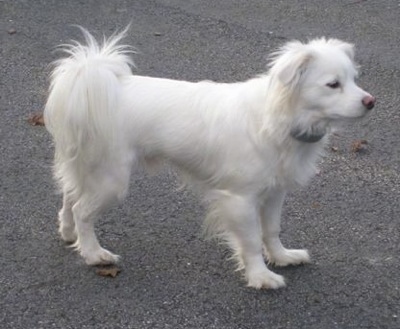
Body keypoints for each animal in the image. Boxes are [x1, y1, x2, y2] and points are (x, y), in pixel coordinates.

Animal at [44, 28, 376, 290]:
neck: (277, 118)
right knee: (83, 209)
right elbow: (252, 240)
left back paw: (69, 233)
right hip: (111, 180)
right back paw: (93, 253)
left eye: (355, 80)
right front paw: (260, 276)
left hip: (92, 171)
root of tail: (91, 76)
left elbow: (271, 230)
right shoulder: (240, 200)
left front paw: (281, 257)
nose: (370, 101)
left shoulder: (273, 193)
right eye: (333, 84)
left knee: (70, 197)